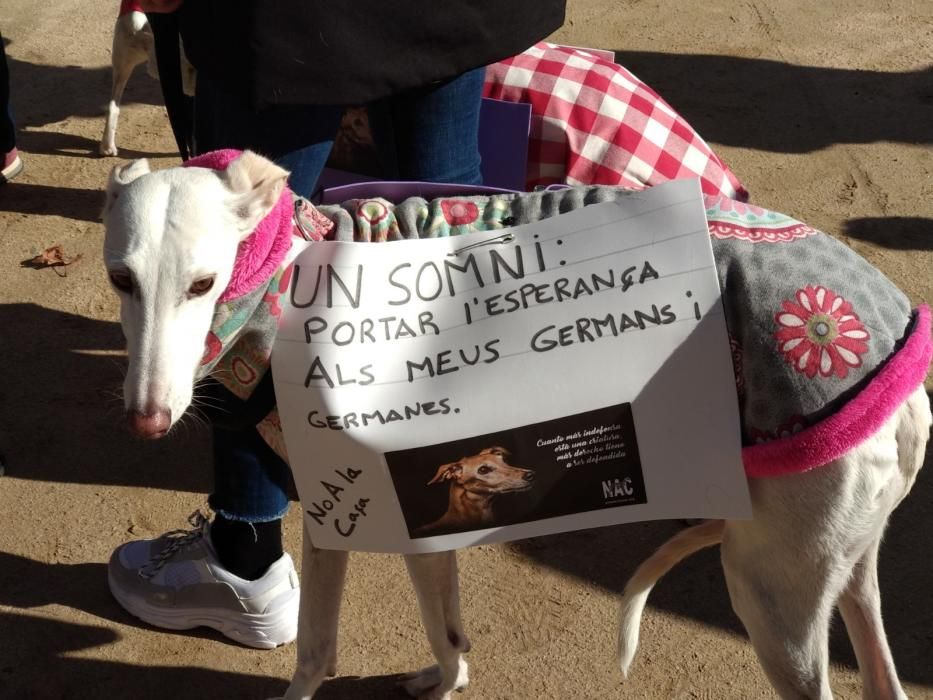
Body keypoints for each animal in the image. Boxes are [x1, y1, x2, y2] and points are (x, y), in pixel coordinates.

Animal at [105, 150, 928, 696]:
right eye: (121, 279)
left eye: (203, 284)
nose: (146, 421)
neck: (287, 271)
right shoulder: (399, 516)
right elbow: (427, 629)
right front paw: (447, 678)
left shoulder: (347, 512)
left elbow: (321, 647)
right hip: (842, 569)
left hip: (771, 598)